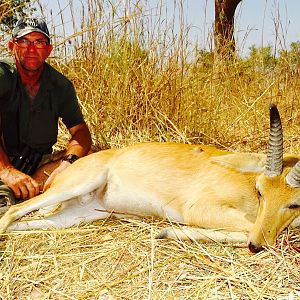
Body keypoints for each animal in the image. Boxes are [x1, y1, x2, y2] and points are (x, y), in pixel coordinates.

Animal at [0, 103, 300, 253]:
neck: (247, 184)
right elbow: (246, 228)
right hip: (74, 186)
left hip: (78, 215)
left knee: (27, 223)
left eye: (294, 203)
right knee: (13, 210)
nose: (256, 246)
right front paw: (167, 232)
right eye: (261, 190)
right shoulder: (199, 209)